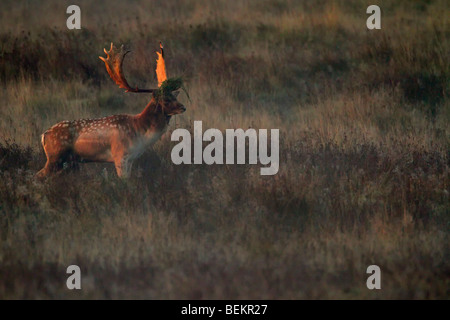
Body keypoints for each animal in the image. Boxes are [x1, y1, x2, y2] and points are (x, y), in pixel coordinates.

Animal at [37, 41, 186, 179]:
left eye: (174, 95)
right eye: (165, 100)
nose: (183, 107)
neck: (139, 130)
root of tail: (44, 135)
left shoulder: (130, 159)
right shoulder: (120, 155)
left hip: (66, 162)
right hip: (55, 157)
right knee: (38, 175)